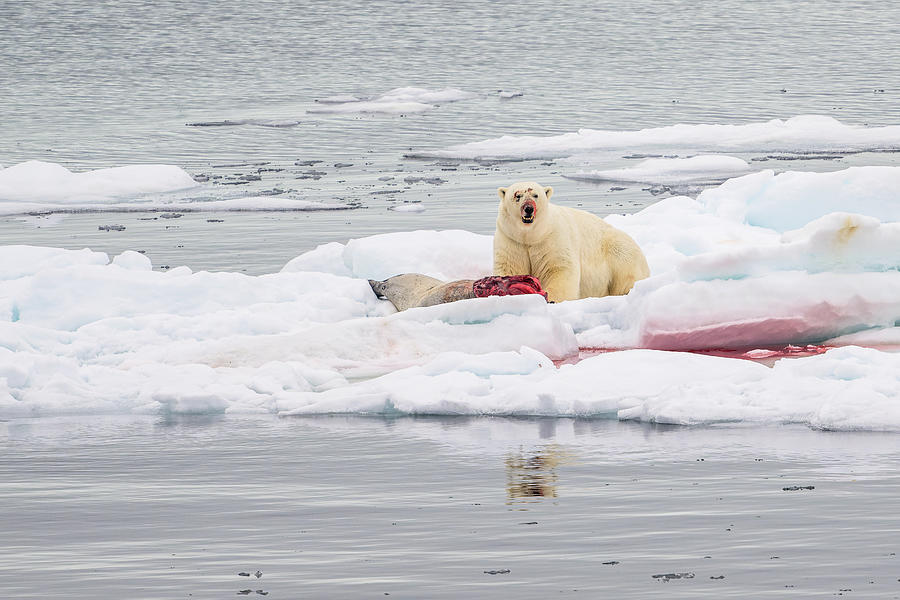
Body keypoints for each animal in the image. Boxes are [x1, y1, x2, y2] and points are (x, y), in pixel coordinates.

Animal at [492, 178, 648, 300]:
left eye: (536, 195)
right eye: (517, 196)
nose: (529, 208)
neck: (531, 236)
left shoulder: (552, 238)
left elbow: (559, 269)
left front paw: (551, 298)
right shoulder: (511, 240)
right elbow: (510, 268)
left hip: (617, 249)